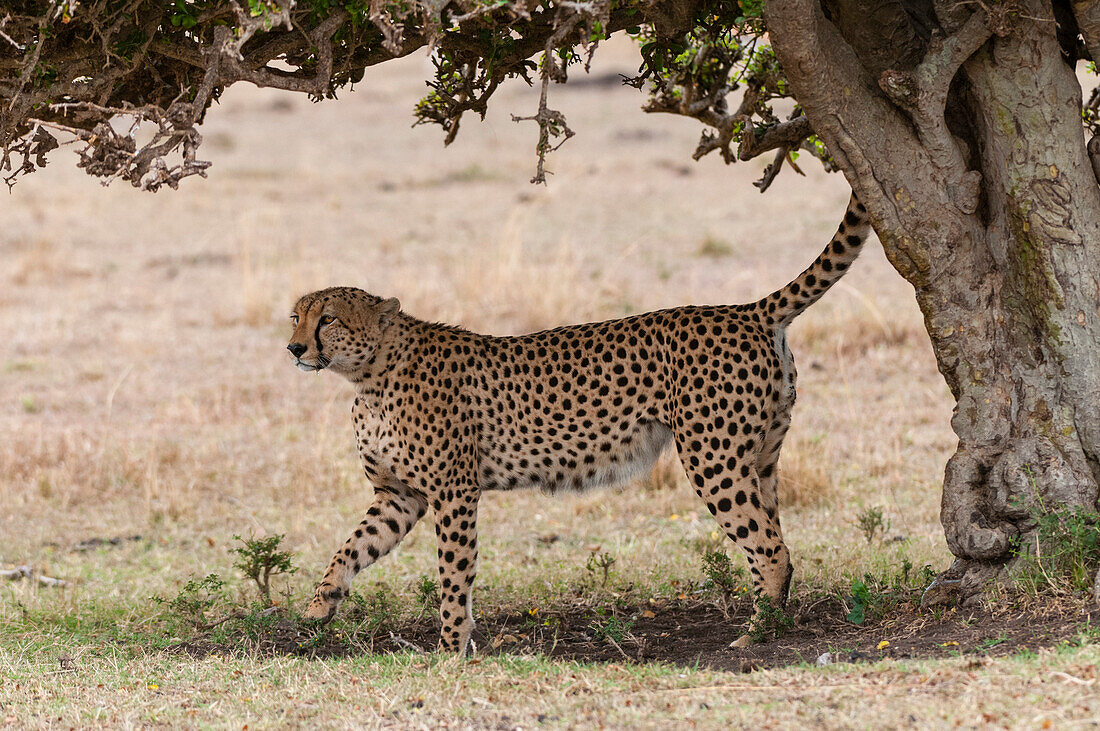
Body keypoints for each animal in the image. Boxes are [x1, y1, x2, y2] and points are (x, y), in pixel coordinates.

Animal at [290, 193, 866, 650]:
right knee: (776, 539)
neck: (368, 375)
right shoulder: (399, 494)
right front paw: (319, 605)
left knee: (771, 550)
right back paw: (775, 625)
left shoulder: (453, 491)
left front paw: (451, 647)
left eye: (328, 319)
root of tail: (746, 310)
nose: (294, 348)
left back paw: (756, 635)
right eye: (295, 316)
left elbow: (454, 572)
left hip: (713, 460)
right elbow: (351, 547)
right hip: (762, 457)